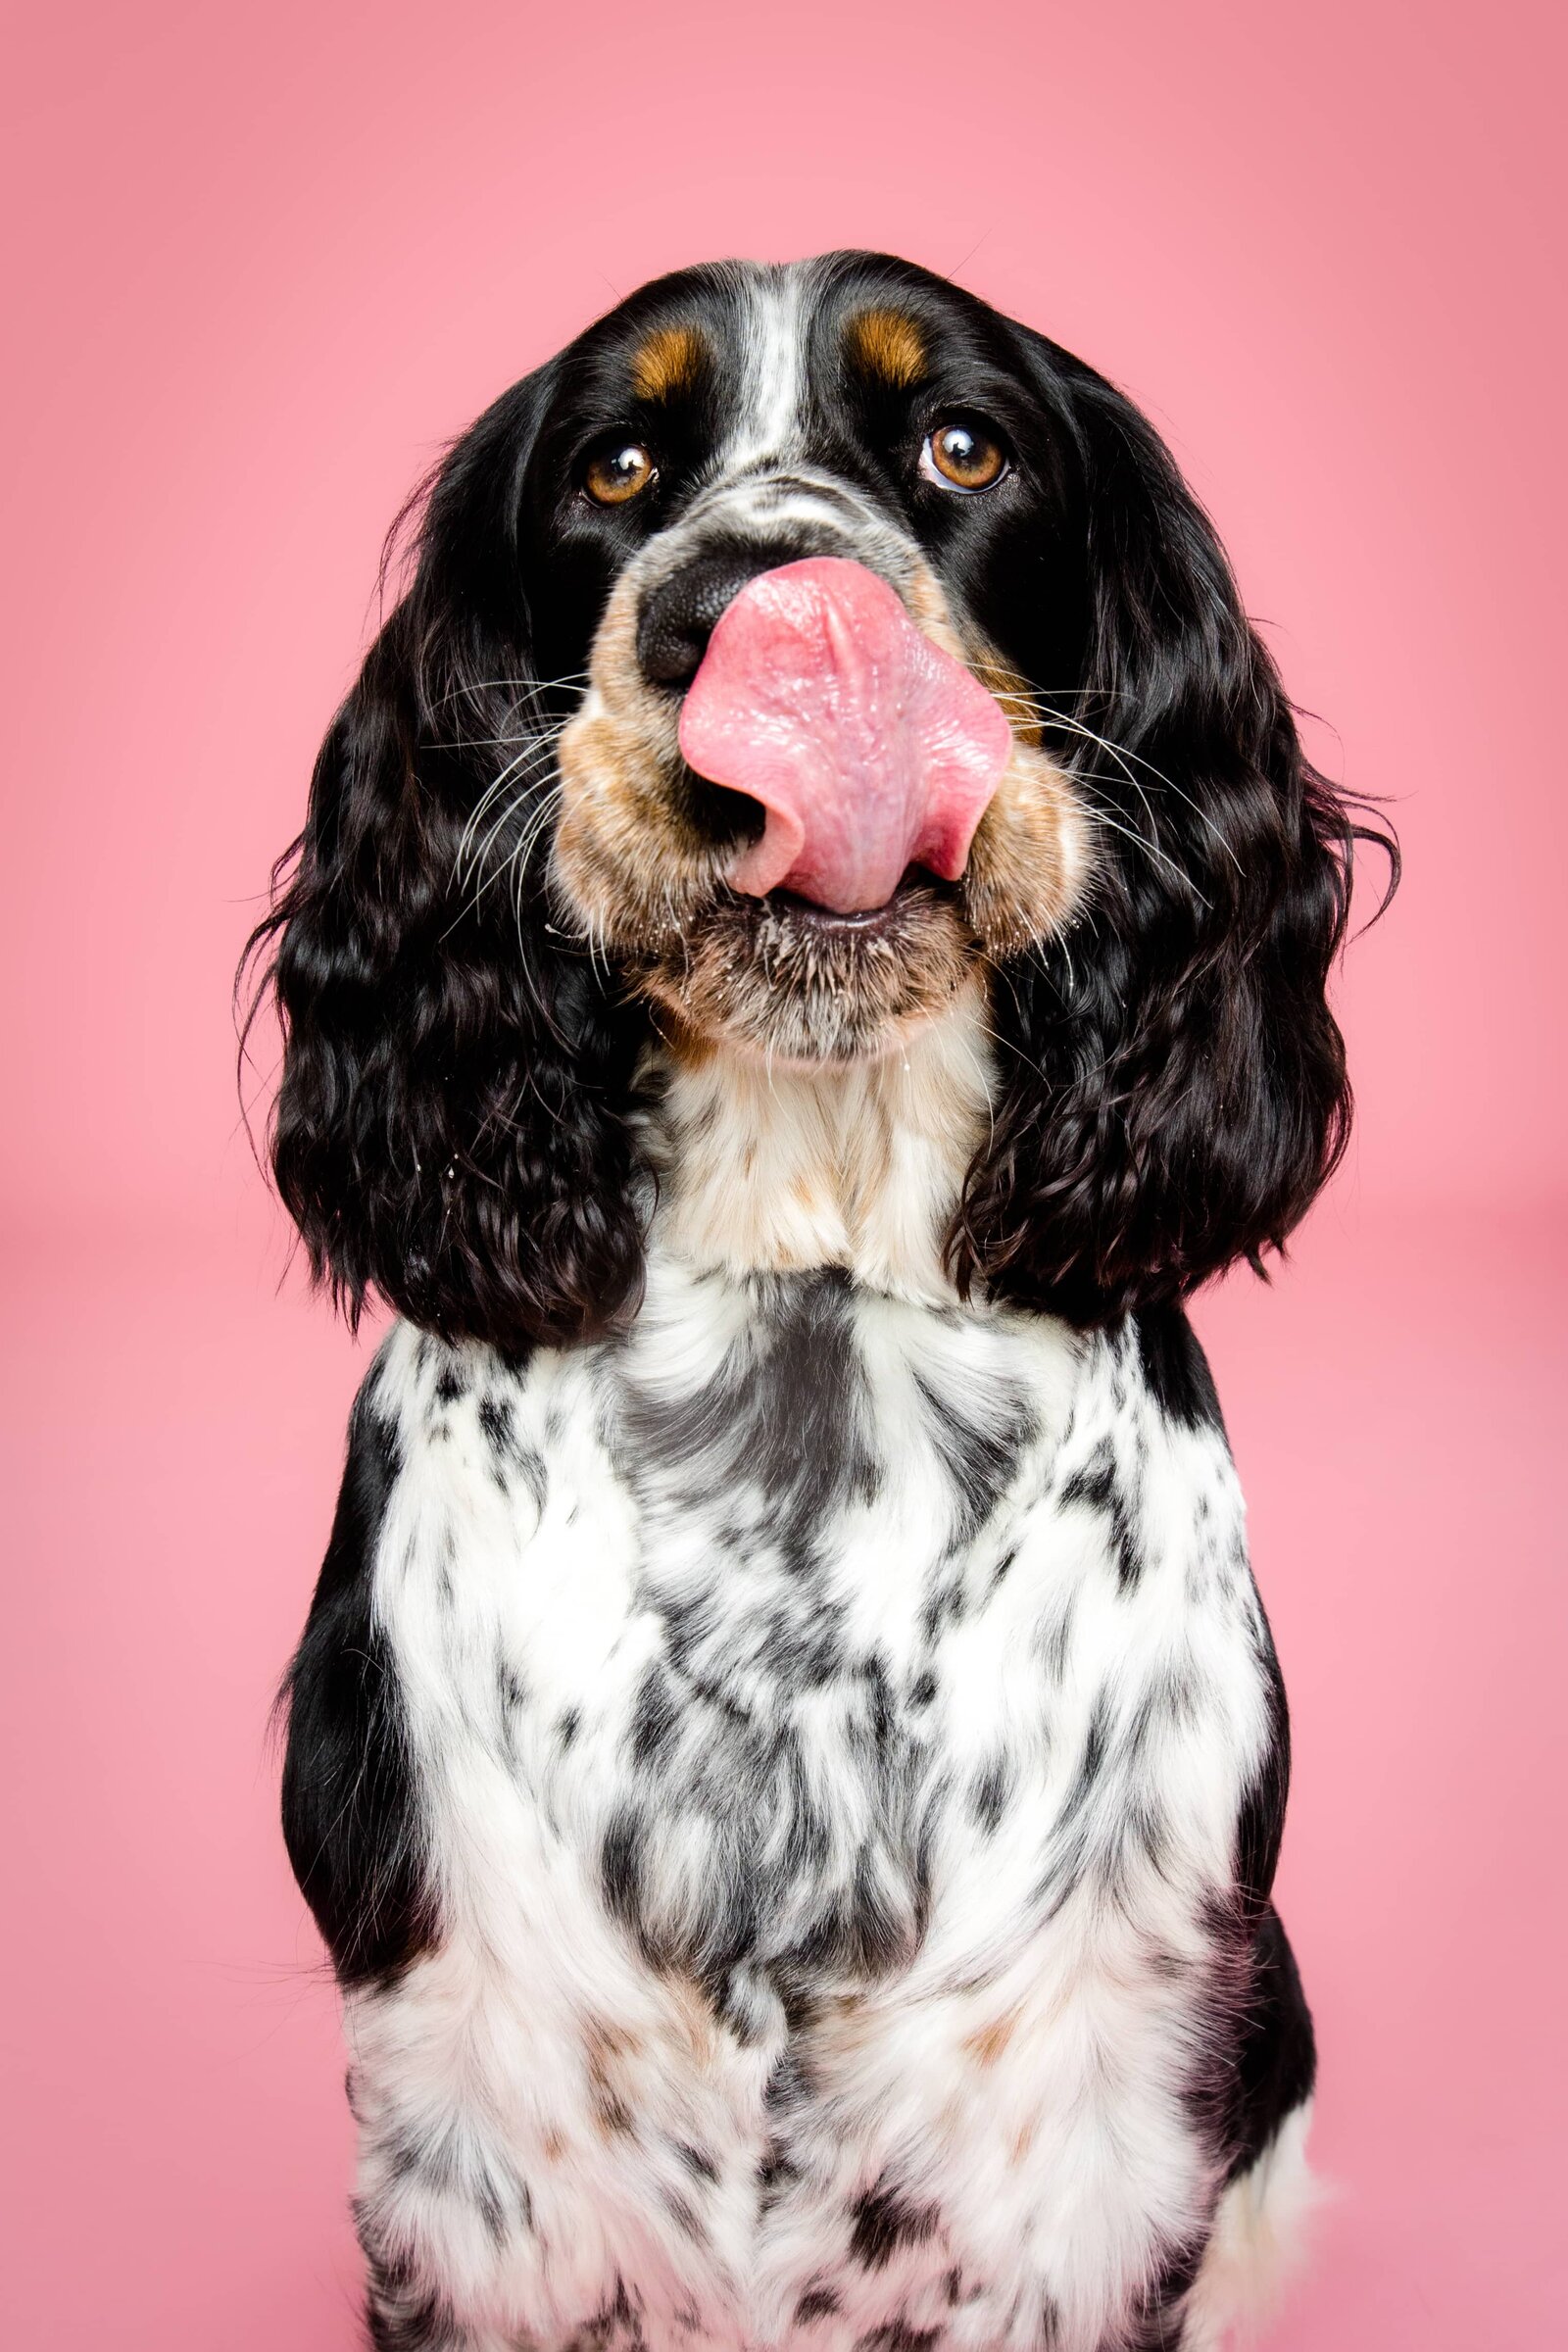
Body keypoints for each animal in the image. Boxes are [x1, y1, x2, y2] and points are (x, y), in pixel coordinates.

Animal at [251, 253, 1392, 2352]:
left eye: (965, 445)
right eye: (616, 467)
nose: (753, 618)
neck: (811, 1298)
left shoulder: (1092, 2116)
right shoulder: (482, 2140)